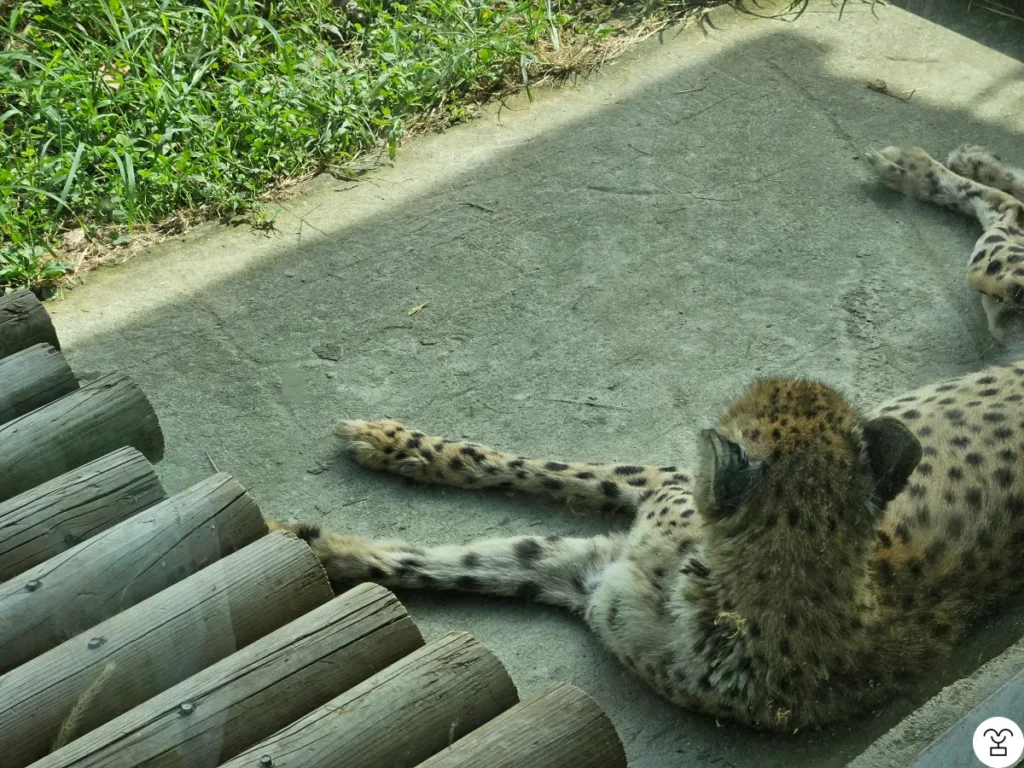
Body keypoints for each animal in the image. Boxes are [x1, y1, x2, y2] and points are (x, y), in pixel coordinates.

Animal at [269, 361, 1024, 732]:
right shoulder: (592, 576)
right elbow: (470, 561)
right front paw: (320, 547)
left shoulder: (636, 522)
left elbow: (539, 478)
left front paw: (394, 454)